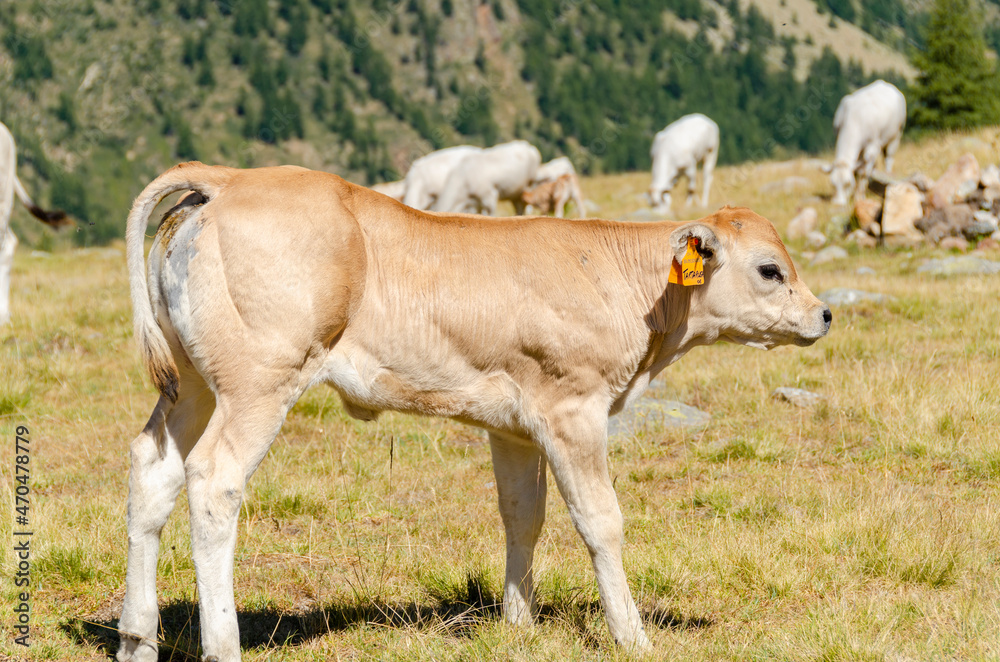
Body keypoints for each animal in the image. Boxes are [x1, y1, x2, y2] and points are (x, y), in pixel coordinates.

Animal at [116, 161, 831, 662]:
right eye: (770, 270)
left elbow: (523, 516)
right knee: (214, 481)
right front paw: (632, 636)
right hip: (258, 382)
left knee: (153, 468)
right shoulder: (574, 408)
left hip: (190, 383)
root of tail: (226, 178)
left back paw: (136, 637)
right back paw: (222, 644)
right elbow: (600, 521)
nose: (824, 313)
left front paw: (518, 624)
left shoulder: (513, 424)